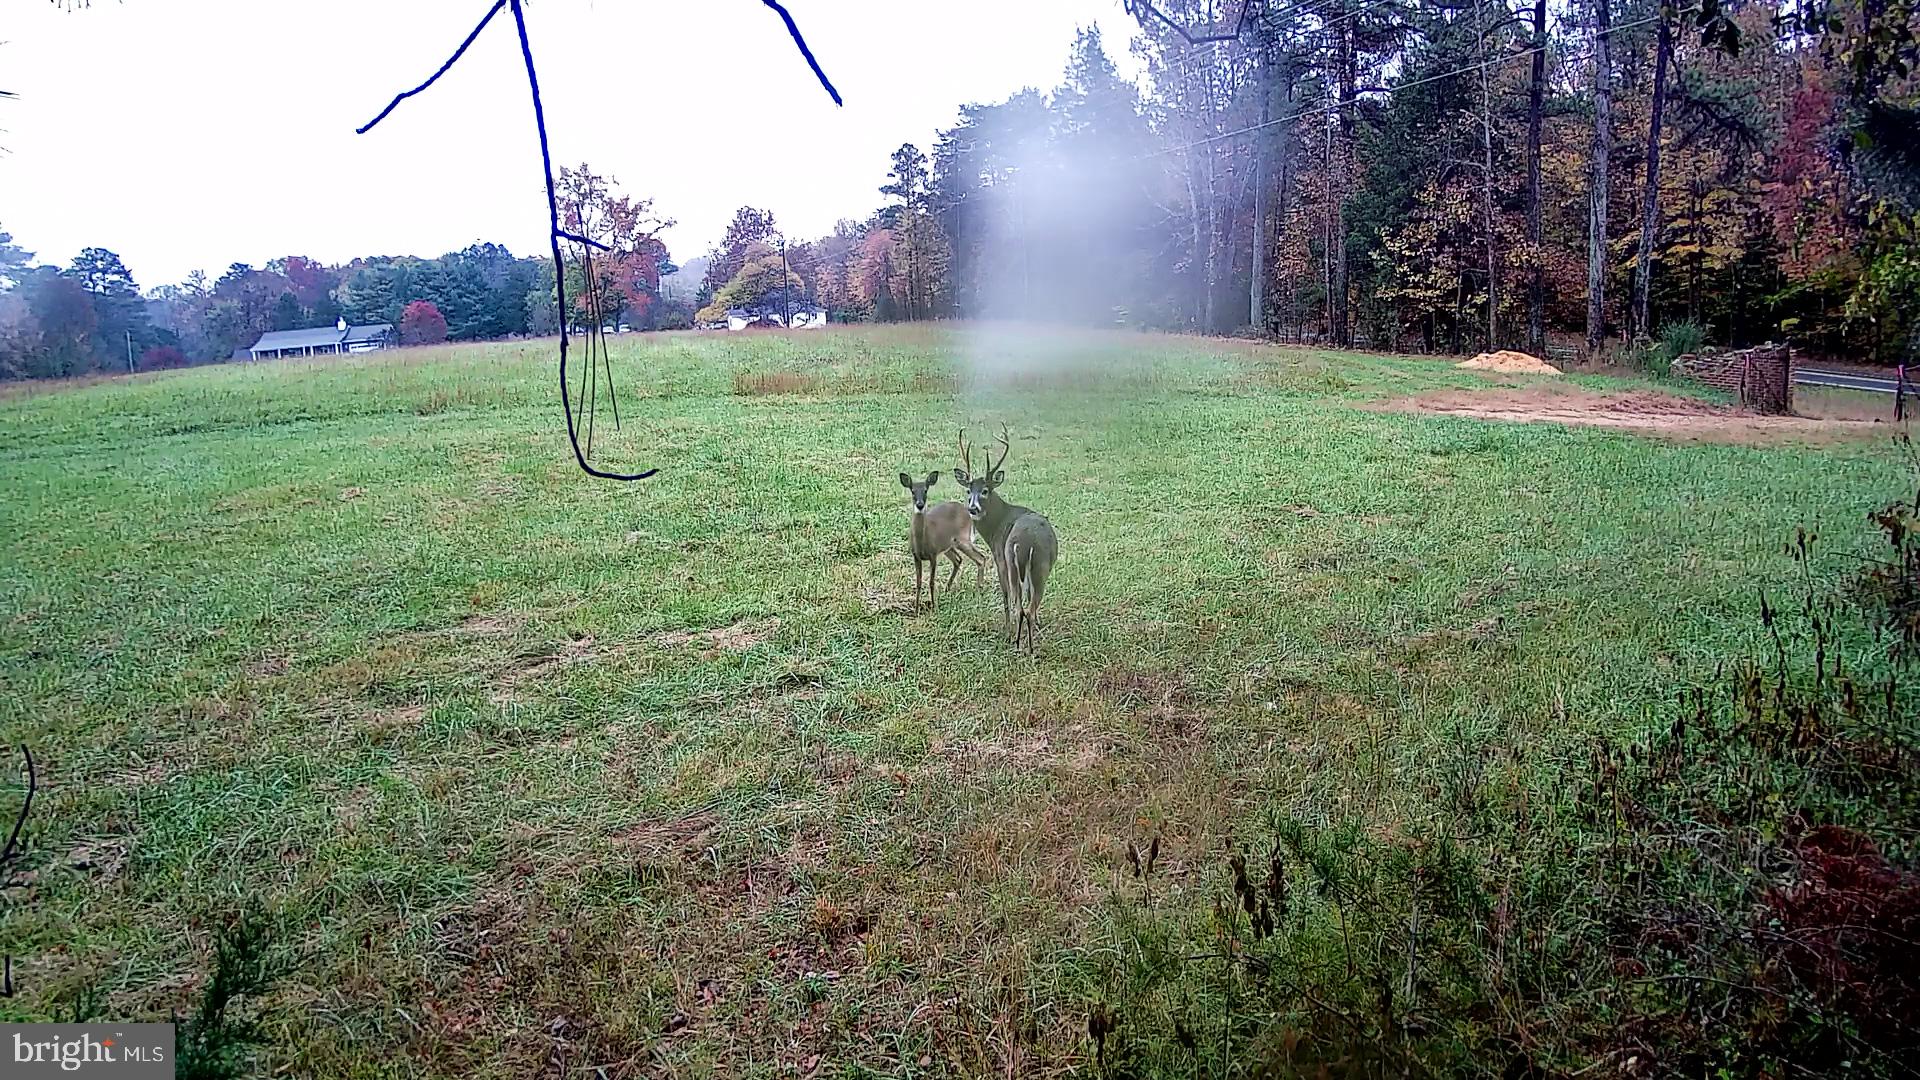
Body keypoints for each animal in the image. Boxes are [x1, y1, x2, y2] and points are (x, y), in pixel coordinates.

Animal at [900, 470, 990, 613]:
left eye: (926, 490)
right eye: (912, 491)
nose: (920, 505)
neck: (922, 540)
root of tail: (968, 511)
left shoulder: (933, 554)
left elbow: (931, 582)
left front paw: (933, 607)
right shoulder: (916, 556)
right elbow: (918, 582)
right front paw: (916, 609)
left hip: (962, 539)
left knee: (981, 558)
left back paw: (979, 590)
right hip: (949, 546)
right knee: (958, 559)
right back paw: (947, 589)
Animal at [954, 426, 1057, 655]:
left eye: (985, 490)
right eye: (968, 490)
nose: (972, 508)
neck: (997, 524)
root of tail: (1027, 543)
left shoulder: (1000, 558)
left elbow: (1005, 597)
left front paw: (1007, 632)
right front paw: (1038, 624)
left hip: (1015, 563)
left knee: (1021, 607)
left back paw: (1020, 644)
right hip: (1038, 568)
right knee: (1029, 606)